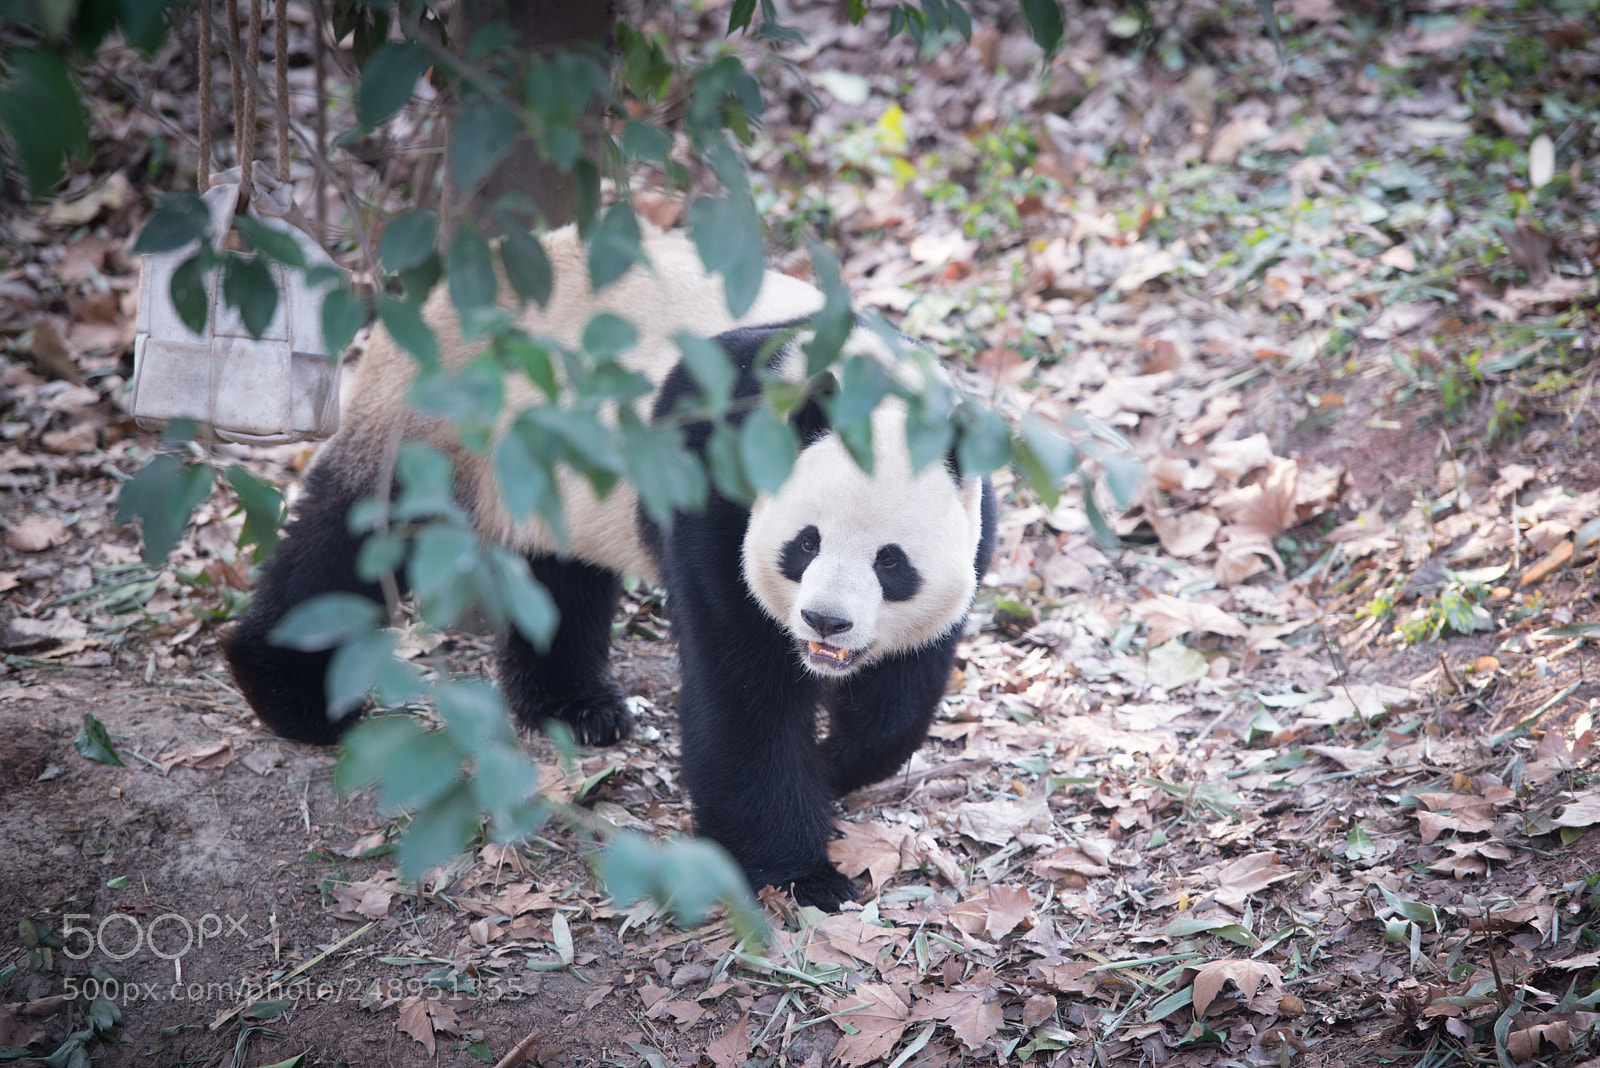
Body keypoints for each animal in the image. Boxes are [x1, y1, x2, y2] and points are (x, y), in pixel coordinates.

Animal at [221, 226, 997, 910]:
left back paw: (574, 705)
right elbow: (744, 683)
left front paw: (840, 762)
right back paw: (289, 689)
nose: (825, 621)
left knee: (556, 574)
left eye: (890, 563)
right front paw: (800, 873)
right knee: (356, 537)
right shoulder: (715, 466)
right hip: (441, 411)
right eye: (804, 544)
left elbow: (905, 686)